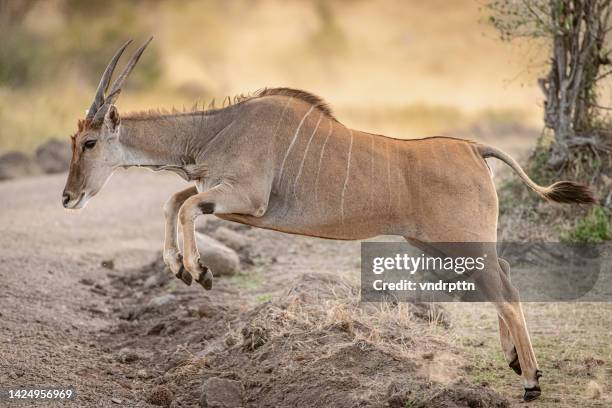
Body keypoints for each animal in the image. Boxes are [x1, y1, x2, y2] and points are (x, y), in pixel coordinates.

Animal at [64, 39, 596, 402]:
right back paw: (516, 362)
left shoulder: (247, 200)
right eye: (74, 142)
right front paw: (178, 266)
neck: (217, 128)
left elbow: (185, 205)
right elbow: (174, 201)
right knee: (504, 279)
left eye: (89, 142)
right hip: (440, 245)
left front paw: (198, 271)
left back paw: (531, 381)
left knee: (505, 291)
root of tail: (473, 147)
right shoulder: (219, 193)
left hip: (459, 243)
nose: (68, 197)